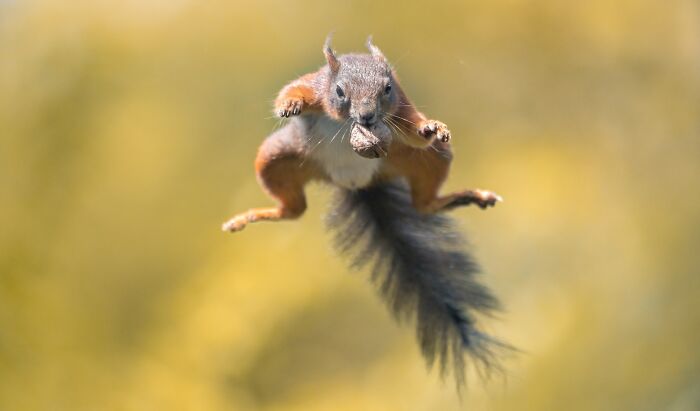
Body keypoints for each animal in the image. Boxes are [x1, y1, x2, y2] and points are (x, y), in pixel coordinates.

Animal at [222, 36, 509, 387]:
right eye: (339, 90)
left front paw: (432, 127)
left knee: (423, 202)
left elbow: (416, 130)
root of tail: (356, 182)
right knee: (293, 210)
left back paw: (468, 196)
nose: (368, 116)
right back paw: (249, 217)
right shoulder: (315, 85)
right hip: (275, 157)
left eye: (387, 88)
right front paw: (290, 105)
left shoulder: (402, 106)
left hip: (424, 157)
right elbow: (291, 89)